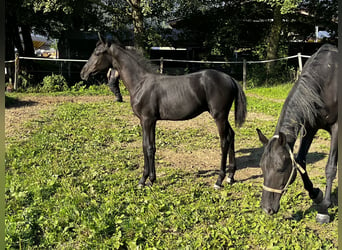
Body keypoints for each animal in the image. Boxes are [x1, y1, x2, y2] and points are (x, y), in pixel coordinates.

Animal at [80, 34, 246, 188]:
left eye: (97, 53)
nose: (83, 73)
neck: (140, 83)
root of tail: (230, 78)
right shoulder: (150, 121)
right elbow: (150, 146)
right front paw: (151, 179)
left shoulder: (147, 120)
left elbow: (147, 147)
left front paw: (143, 180)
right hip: (223, 117)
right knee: (231, 135)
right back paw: (231, 176)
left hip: (219, 116)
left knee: (224, 141)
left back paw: (219, 180)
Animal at [258, 44, 338, 224]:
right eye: (261, 166)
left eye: (280, 169)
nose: (266, 208)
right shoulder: (310, 126)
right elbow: (301, 161)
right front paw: (316, 194)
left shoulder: (337, 128)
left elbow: (330, 167)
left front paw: (324, 209)